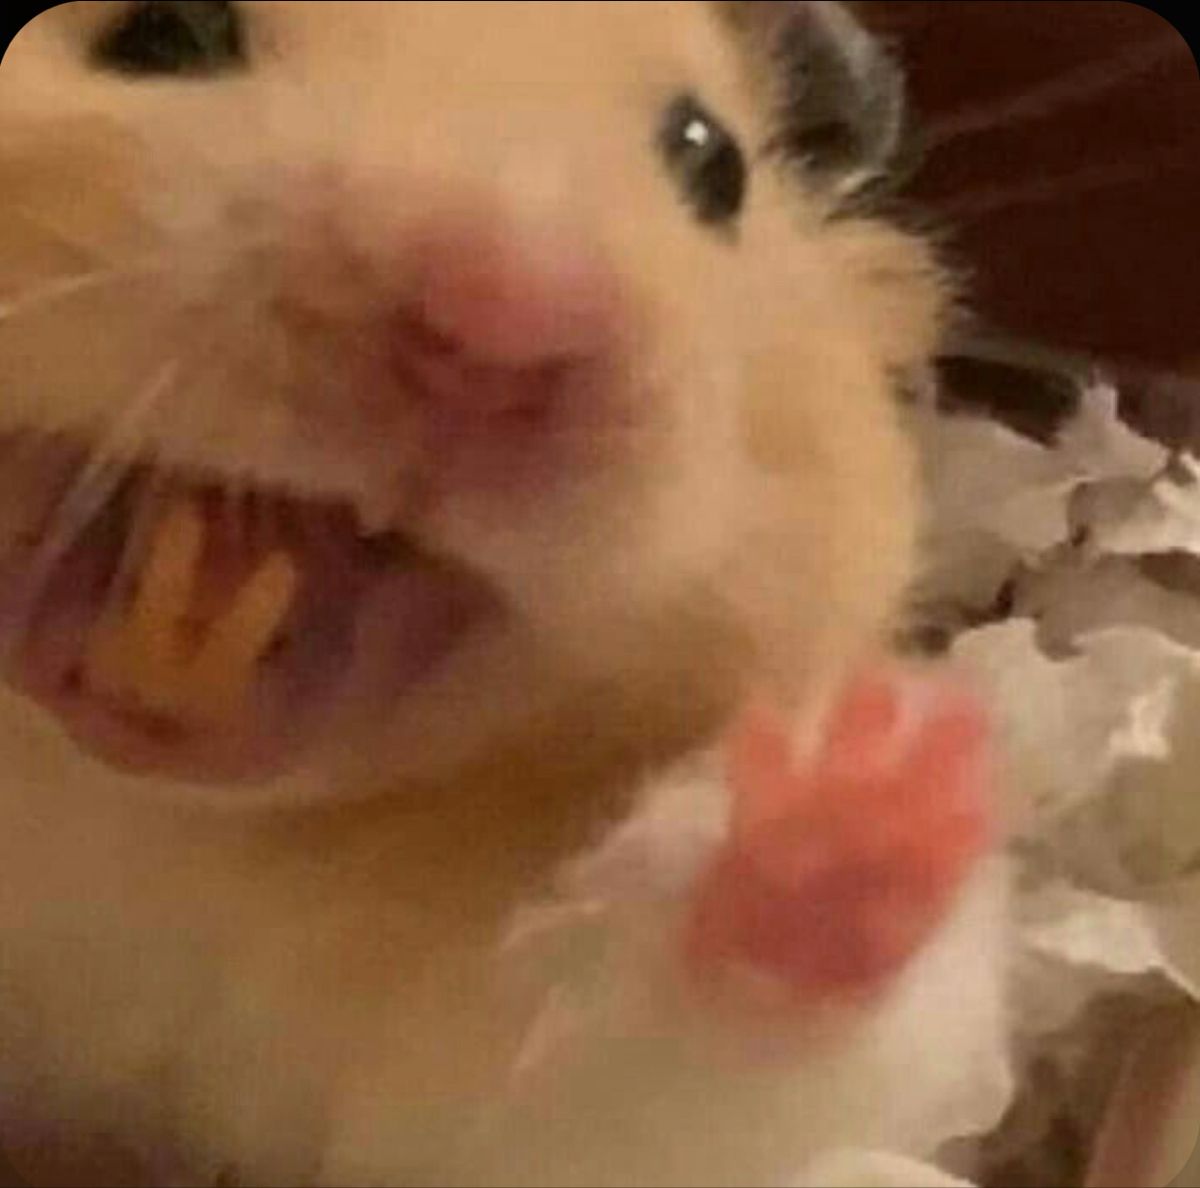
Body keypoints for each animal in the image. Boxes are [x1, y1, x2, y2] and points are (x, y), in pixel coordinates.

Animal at [0, 3, 1008, 1185]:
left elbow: (617, 1066)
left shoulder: (487, 1070)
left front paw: (869, 782)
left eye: (711, 163)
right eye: (158, 33)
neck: (139, 815)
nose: (501, 319)